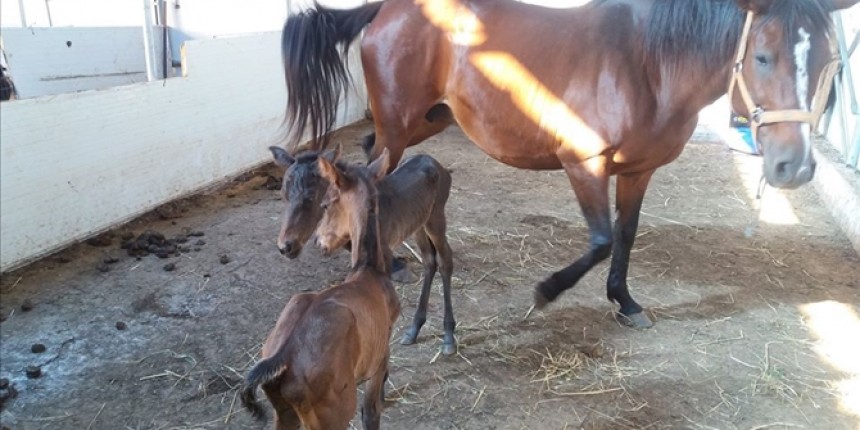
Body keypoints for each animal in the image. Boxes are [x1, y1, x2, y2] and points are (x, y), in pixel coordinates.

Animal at [242, 149, 400, 428]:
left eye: (326, 203)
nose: (320, 242)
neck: (368, 271)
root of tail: (284, 355)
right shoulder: (379, 360)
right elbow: (371, 412)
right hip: (333, 415)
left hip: (285, 413)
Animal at [270, 145, 460, 356]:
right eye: (284, 195)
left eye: (311, 199)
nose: (286, 246)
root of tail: (434, 162)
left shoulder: (383, 252)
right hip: (419, 225)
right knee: (429, 261)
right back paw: (414, 328)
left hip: (436, 219)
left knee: (444, 260)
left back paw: (448, 335)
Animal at [282, 0, 852, 328]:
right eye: (762, 56)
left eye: (830, 59)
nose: (795, 168)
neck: (646, 64)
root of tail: (385, 7)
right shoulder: (585, 164)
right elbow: (600, 241)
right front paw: (545, 292)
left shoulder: (639, 170)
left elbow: (625, 235)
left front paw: (625, 301)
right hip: (402, 122)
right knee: (370, 168)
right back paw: (387, 255)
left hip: (428, 119)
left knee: (369, 154)